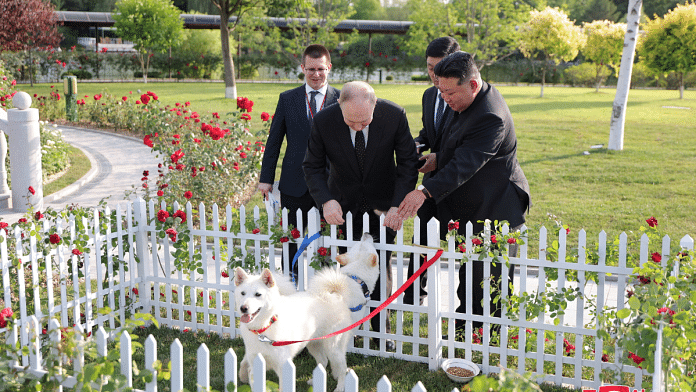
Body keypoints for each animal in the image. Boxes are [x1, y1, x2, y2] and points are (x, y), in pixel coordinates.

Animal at [234, 234, 378, 390]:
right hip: (316, 344)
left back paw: (338, 386)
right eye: (242, 293)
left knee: (337, 366)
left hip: (331, 346)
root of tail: (334, 295)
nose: (243, 308)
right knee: (326, 362)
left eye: (258, 294)